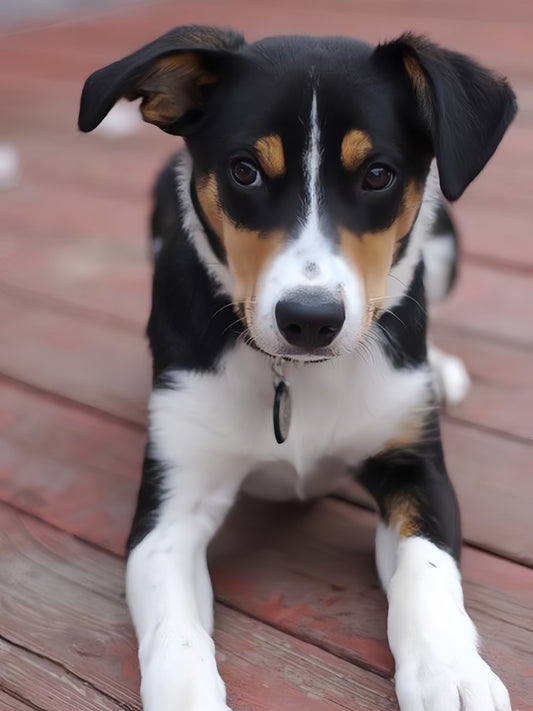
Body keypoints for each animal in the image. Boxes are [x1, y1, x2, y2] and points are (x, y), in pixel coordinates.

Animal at [78, 26, 516, 711]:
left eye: (378, 175)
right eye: (245, 170)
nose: (310, 320)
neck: (295, 372)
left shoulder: (415, 468)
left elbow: (426, 571)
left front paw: (451, 672)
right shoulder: (170, 507)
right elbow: (175, 629)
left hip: (445, 236)